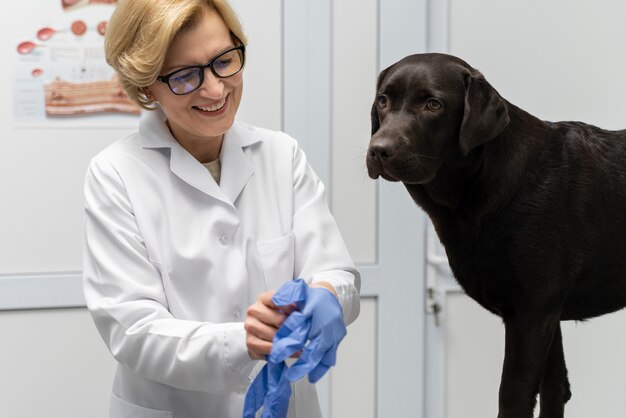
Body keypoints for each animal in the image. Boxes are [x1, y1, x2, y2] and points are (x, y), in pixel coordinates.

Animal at [366, 53, 624, 418]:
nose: (379, 150)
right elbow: (555, 389)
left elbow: (513, 397)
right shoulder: (548, 315)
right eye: (383, 101)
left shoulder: (531, 314)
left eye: (433, 104)